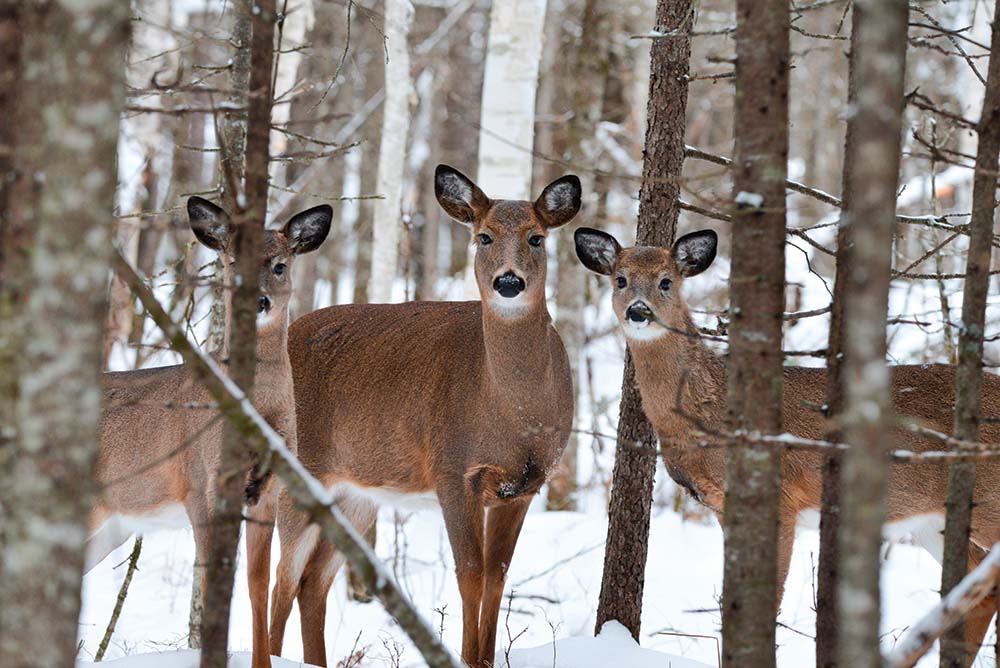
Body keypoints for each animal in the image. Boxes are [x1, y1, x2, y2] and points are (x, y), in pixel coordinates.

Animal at [86, 196, 332, 654]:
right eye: (232, 261)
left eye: (280, 265)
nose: (259, 302)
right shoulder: (201, 484)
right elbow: (210, 580)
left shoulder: (268, 489)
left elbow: (257, 584)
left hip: (113, 525)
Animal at [251, 165, 580, 668]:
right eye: (483, 236)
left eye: (536, 237)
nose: (508, 282)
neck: (513, 412)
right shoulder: (453, 469)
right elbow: (470, 575)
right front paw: (465, 657)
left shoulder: (524, 486)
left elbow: (498, 577)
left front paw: (484, 658)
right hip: (295, 477)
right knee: (282, 584)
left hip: (355, 494)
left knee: (313, 583)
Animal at [574, 226, 1000, 664]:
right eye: (620, 279)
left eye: (666, 281)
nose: (638, 312)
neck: (709, 413)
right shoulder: (721, 506)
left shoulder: (781, 497)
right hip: (935, 521)